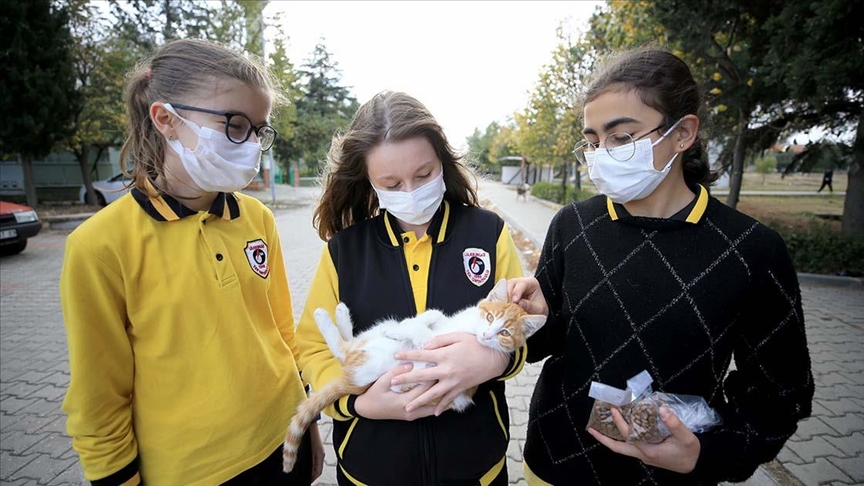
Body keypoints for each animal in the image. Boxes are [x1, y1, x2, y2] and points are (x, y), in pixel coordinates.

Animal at [284, 280, 544, 472]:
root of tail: (354, 384)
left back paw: (327, 319)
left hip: (372, 361)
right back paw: (344, 315)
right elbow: (435, 315)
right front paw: (416, 320)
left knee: (345, 351)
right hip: (373, 339)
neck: (470, 330)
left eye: (505, 333)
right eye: (490, 317)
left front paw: (407, 329)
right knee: (354, 343)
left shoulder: (438, 351)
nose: (488, 335)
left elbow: (424, 336)